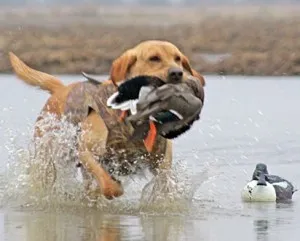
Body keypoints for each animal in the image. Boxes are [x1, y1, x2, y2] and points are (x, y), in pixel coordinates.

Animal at [9, 41, 206, 200]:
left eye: (177, 58)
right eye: (154, 58)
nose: (177, 73)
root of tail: (61, 88)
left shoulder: (161, 163)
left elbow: (164, 186)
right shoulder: (86, 151)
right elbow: (108, 185)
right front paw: (112, 187)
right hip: (47, 157)